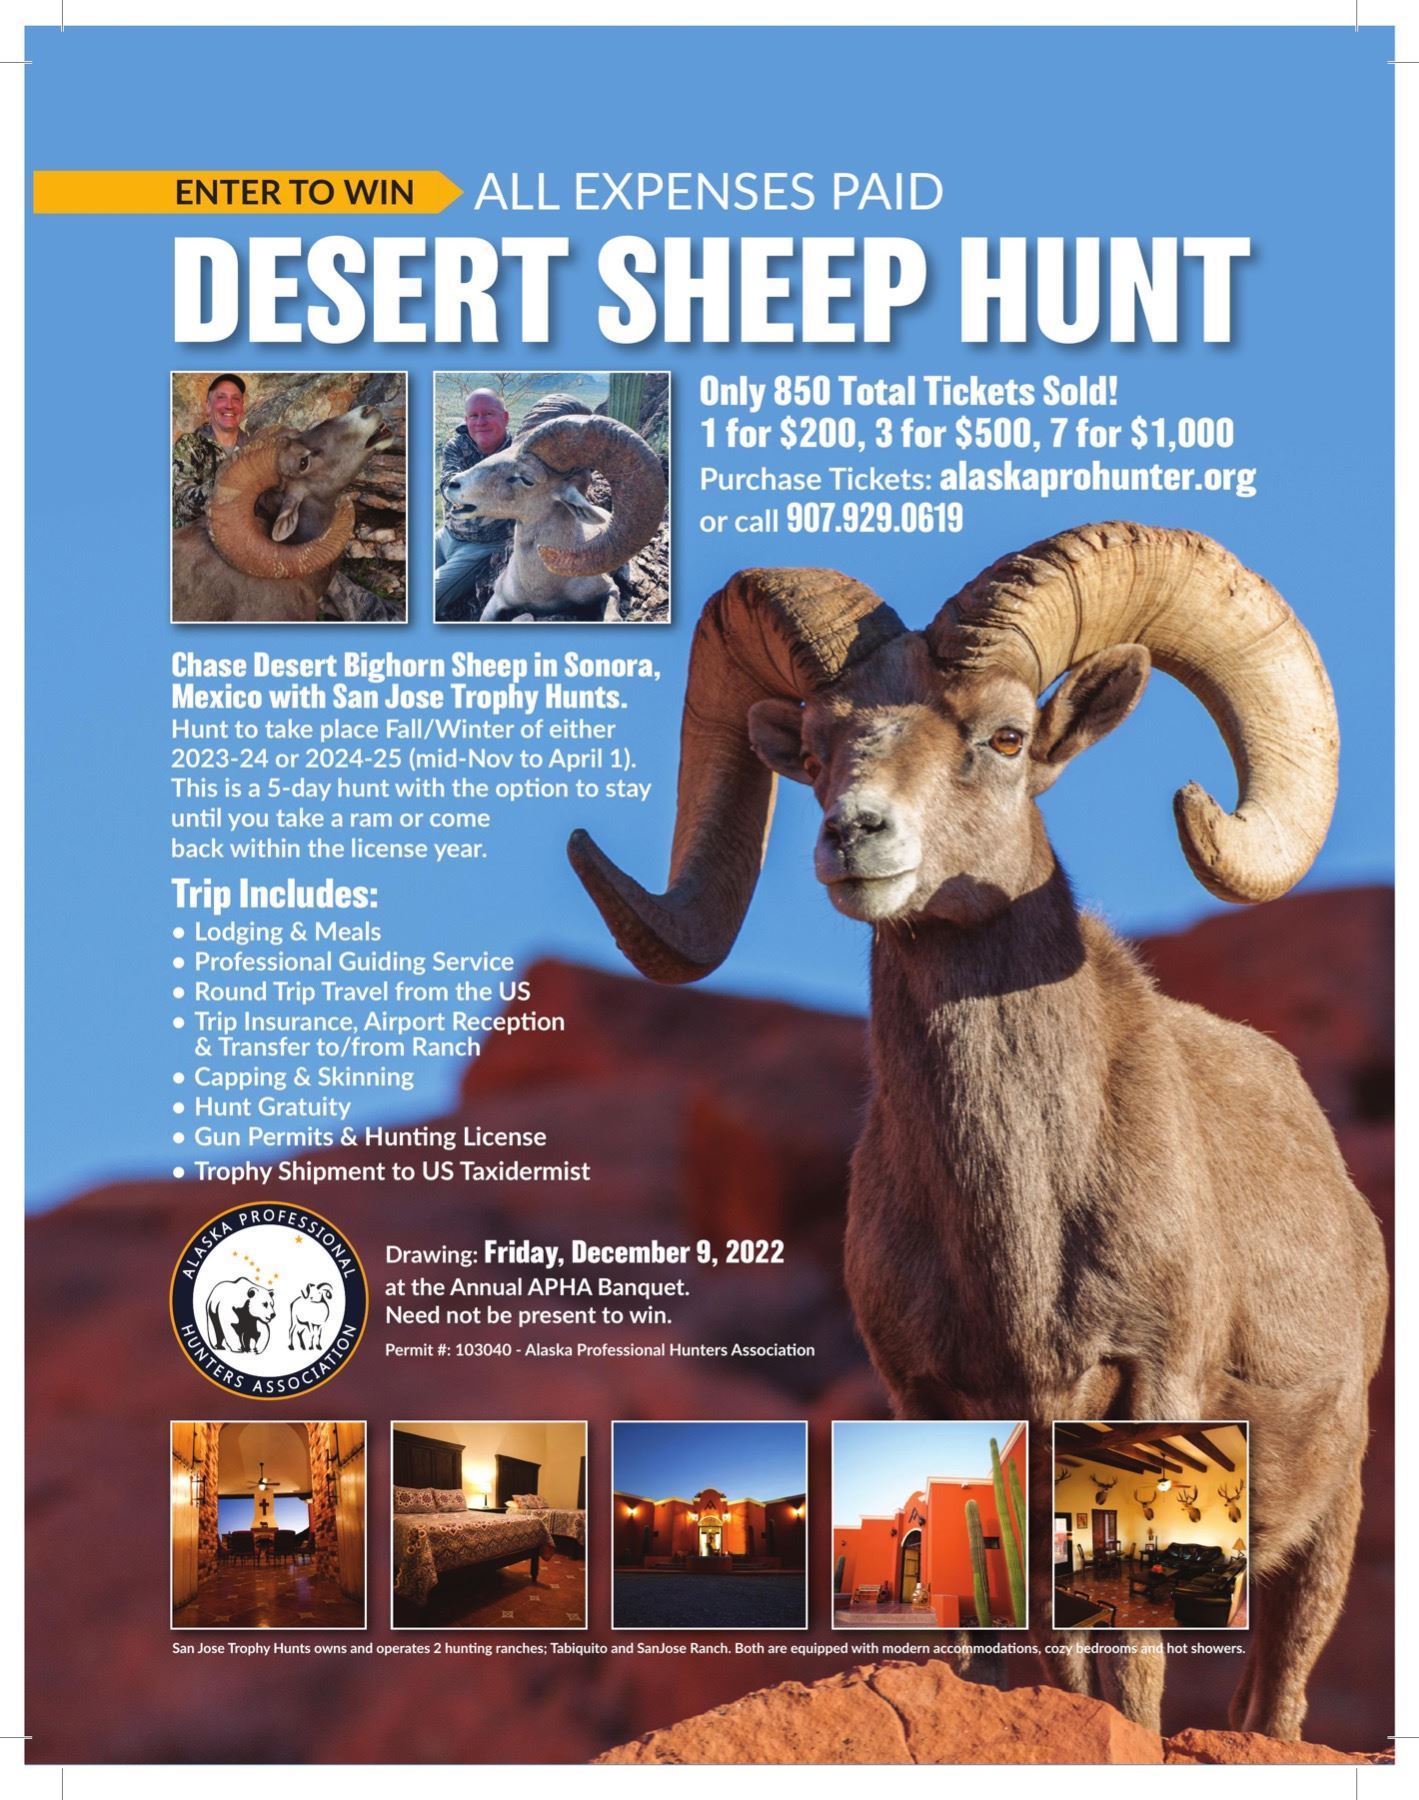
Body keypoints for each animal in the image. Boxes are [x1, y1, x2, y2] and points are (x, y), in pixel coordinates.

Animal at [566, 523, 1389, 1743]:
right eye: (817, 747)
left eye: (1005, 737)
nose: (855, 837)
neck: (1024, 1231)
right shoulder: (934, 1401)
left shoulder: (1154, 1383)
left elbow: (1132, 1666)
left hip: (1331, 1512)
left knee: (1276, 1689)